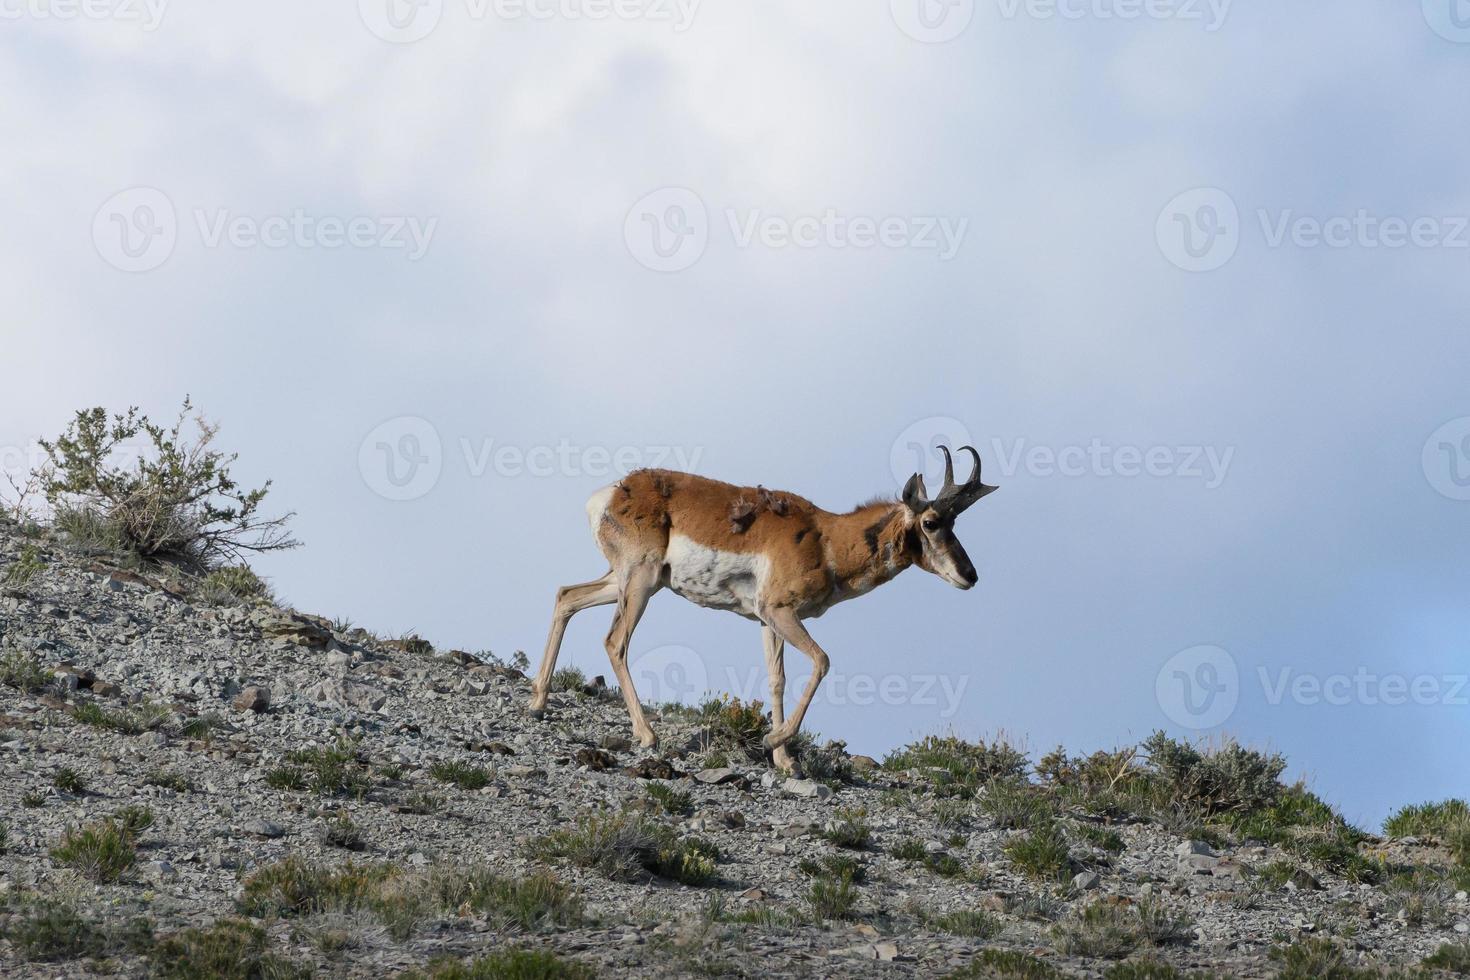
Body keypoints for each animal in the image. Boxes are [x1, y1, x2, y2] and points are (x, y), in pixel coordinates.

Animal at [529, 446, 999, 775]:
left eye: (956, 523)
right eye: (932, 522)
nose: (971, 575)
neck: (826, 538)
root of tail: (610, 492)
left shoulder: (767, 621)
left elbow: (777, 679)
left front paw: (785, 761)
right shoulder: (780, 612)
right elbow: (823, 661)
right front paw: (775, 741)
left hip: (627, 581)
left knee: (566, 595)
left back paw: (537, 702)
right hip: (640, 583)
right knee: (615, 641)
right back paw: (646, 735)